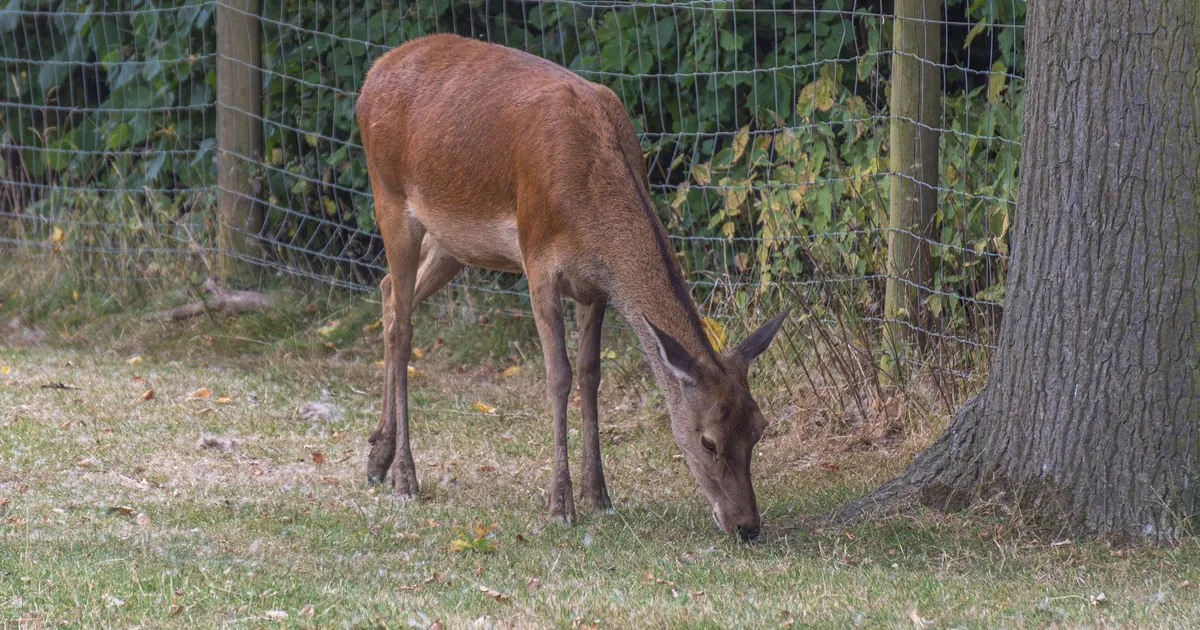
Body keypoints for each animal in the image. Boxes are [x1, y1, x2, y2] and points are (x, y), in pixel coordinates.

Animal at [358, 33, 786, 541]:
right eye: (708, 440)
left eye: (759, 427)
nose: (747, 525)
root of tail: (373, 74)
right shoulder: (538, 260)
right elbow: (558, 376)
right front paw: (560, 504)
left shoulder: (596, 286)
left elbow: (590, 374)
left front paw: (598, 494)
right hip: (389, 196)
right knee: (402, 327)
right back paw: (405, 476)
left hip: (451, 243)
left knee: (387, 292)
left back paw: (377, 456)